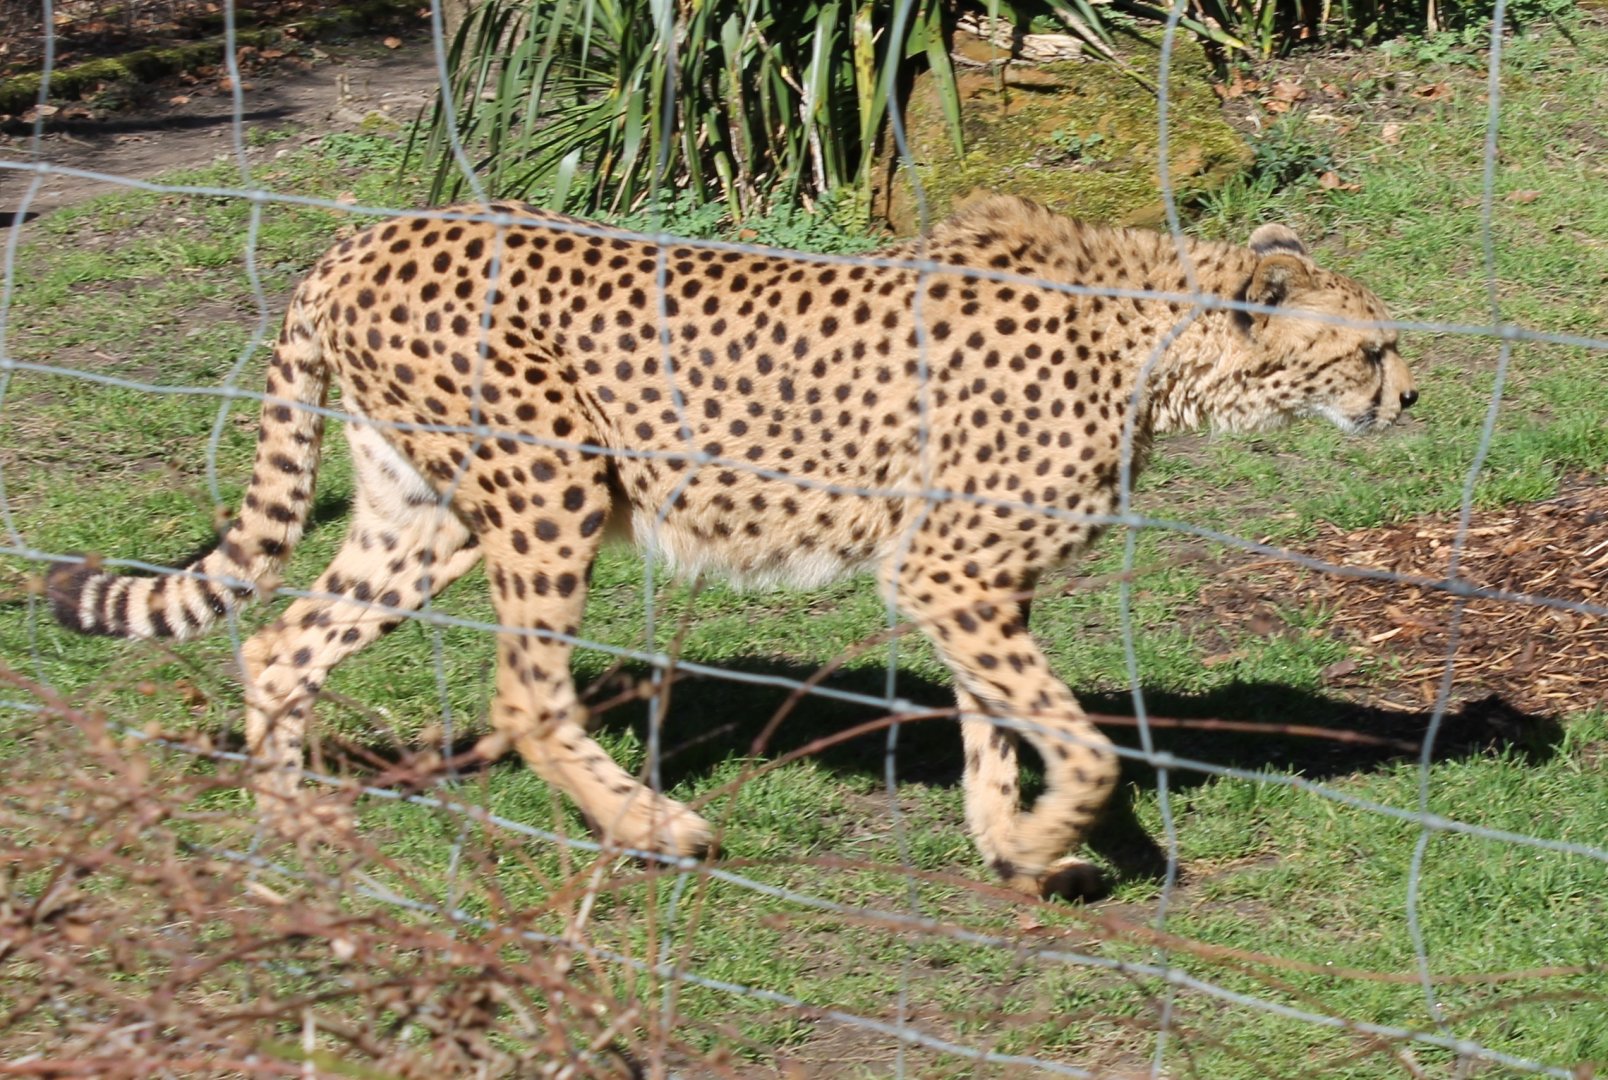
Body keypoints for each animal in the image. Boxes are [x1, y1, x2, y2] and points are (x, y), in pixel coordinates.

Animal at [49, 194, 1416, 900]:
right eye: (1368, 350)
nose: (1411, 397)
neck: (1151, 341)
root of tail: (371, 233)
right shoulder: (951, 569)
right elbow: (1080, 746)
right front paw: (1048, 840)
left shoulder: (960, 580)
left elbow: (996, 723)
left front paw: (1006, 844)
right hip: (550, 485)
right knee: (524, 692)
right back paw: (658, 831)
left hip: (421, 512)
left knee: (281, 642)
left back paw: (293, 832)